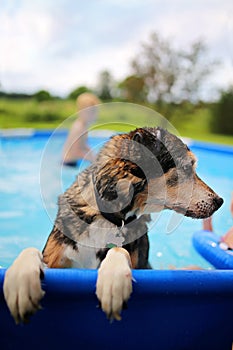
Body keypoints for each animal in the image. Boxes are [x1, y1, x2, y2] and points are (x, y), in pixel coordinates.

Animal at [3, 126, 222, 322]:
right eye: (186, 167)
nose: (219, 201)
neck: (110, 217)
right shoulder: (56, 262)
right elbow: (31, 251)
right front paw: (21, 278)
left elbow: (119, 250)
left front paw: (113, 279)